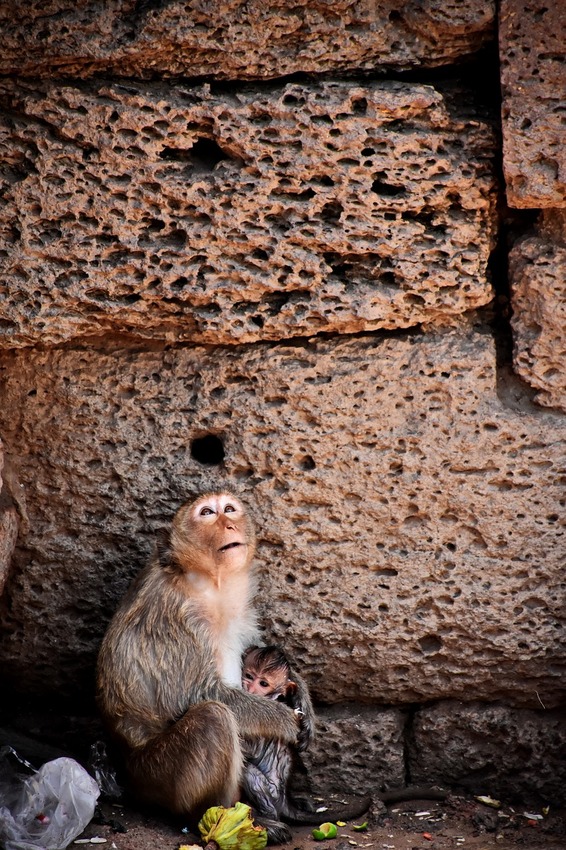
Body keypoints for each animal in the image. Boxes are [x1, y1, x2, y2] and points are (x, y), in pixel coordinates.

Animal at [96, 486, 316, 840]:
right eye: (207, 514)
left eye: (229, 509)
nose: (229, 524)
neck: (209, 582)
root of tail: (128, 772)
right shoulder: (175, 614)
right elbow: (195, 694)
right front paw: (282, 719)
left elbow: (256, 651)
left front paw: (301, 697)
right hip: (156, 773)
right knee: (214, 717)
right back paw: (216, 817)